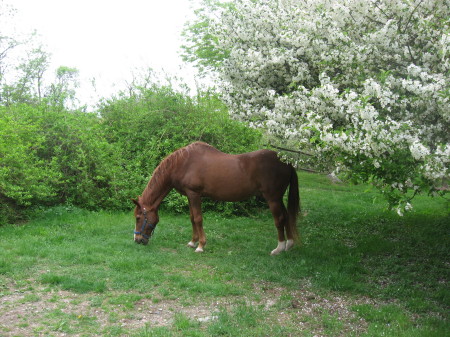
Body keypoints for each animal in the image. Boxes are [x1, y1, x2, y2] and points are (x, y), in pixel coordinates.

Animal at [132, 142, 300, 255]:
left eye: (138, 217)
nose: (137, 240)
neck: (183, 163)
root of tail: (287, 162)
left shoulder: (194, 194)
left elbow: (198, 218)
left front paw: (200, 246)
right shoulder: (190, 195)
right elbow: (192, 218)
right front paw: (192, 242)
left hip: (273, 199)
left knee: (279, 219)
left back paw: (279, 248)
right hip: (278, 198)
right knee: (286, 216)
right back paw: (290, 244)